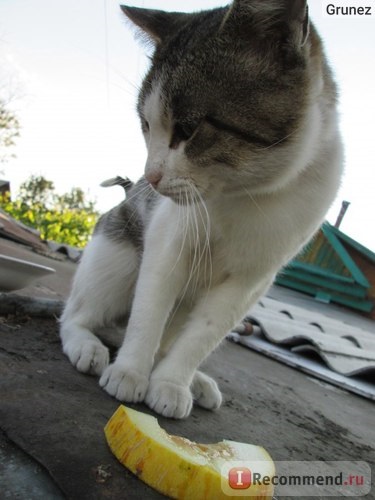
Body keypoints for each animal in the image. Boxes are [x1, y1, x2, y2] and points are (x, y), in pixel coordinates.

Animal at [58, 0, 344, 418]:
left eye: (188, 129)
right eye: (147, 125)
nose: (151, 176)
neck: (247, 196)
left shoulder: (250, 282)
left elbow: (202, 336)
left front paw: (172, 382)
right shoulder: (167, 245)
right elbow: (148, 314)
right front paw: (130, 371)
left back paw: (192, 379)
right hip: (117, 260)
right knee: (75, 314)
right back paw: (87, 344)